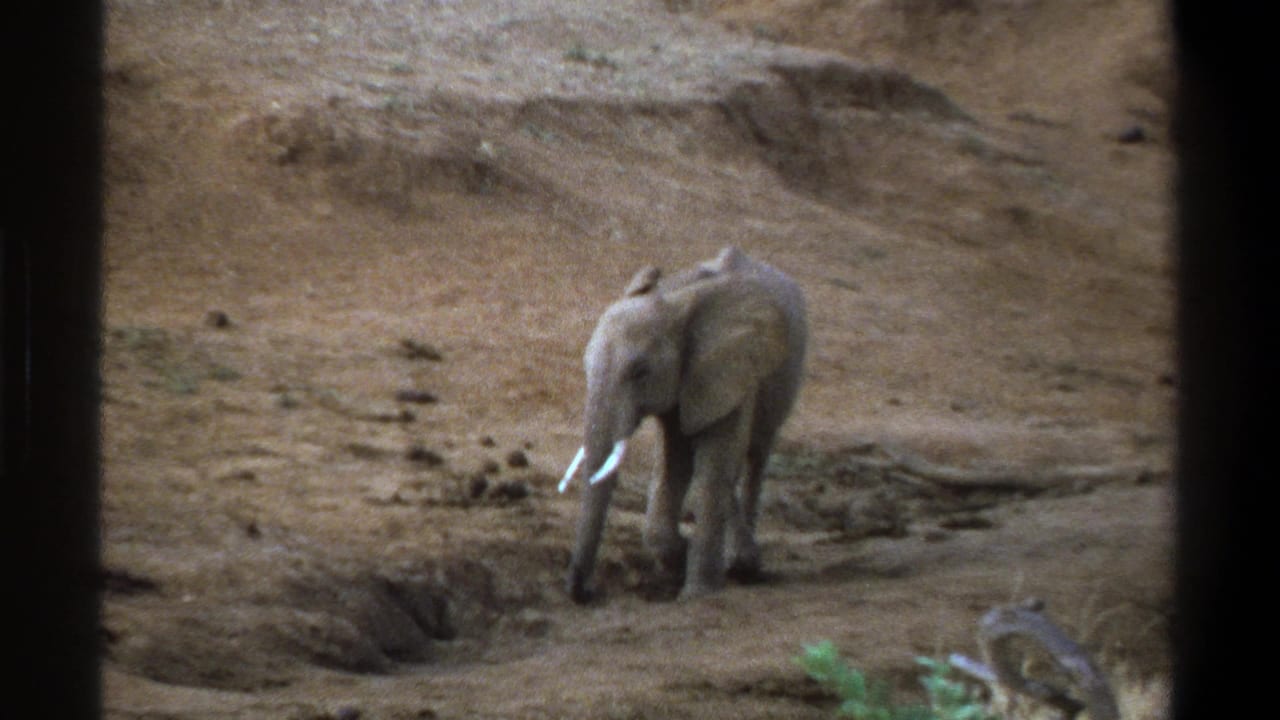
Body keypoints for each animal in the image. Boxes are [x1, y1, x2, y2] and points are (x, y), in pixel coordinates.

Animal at [559, 246, 807, 603]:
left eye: (640, 372)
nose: (585, 593)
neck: (675, 301)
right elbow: (673, 464)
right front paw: (677, 559)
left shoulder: (730, 371)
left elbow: (711, 470)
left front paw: (698, 593)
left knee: (755, 457)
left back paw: (744, 567)